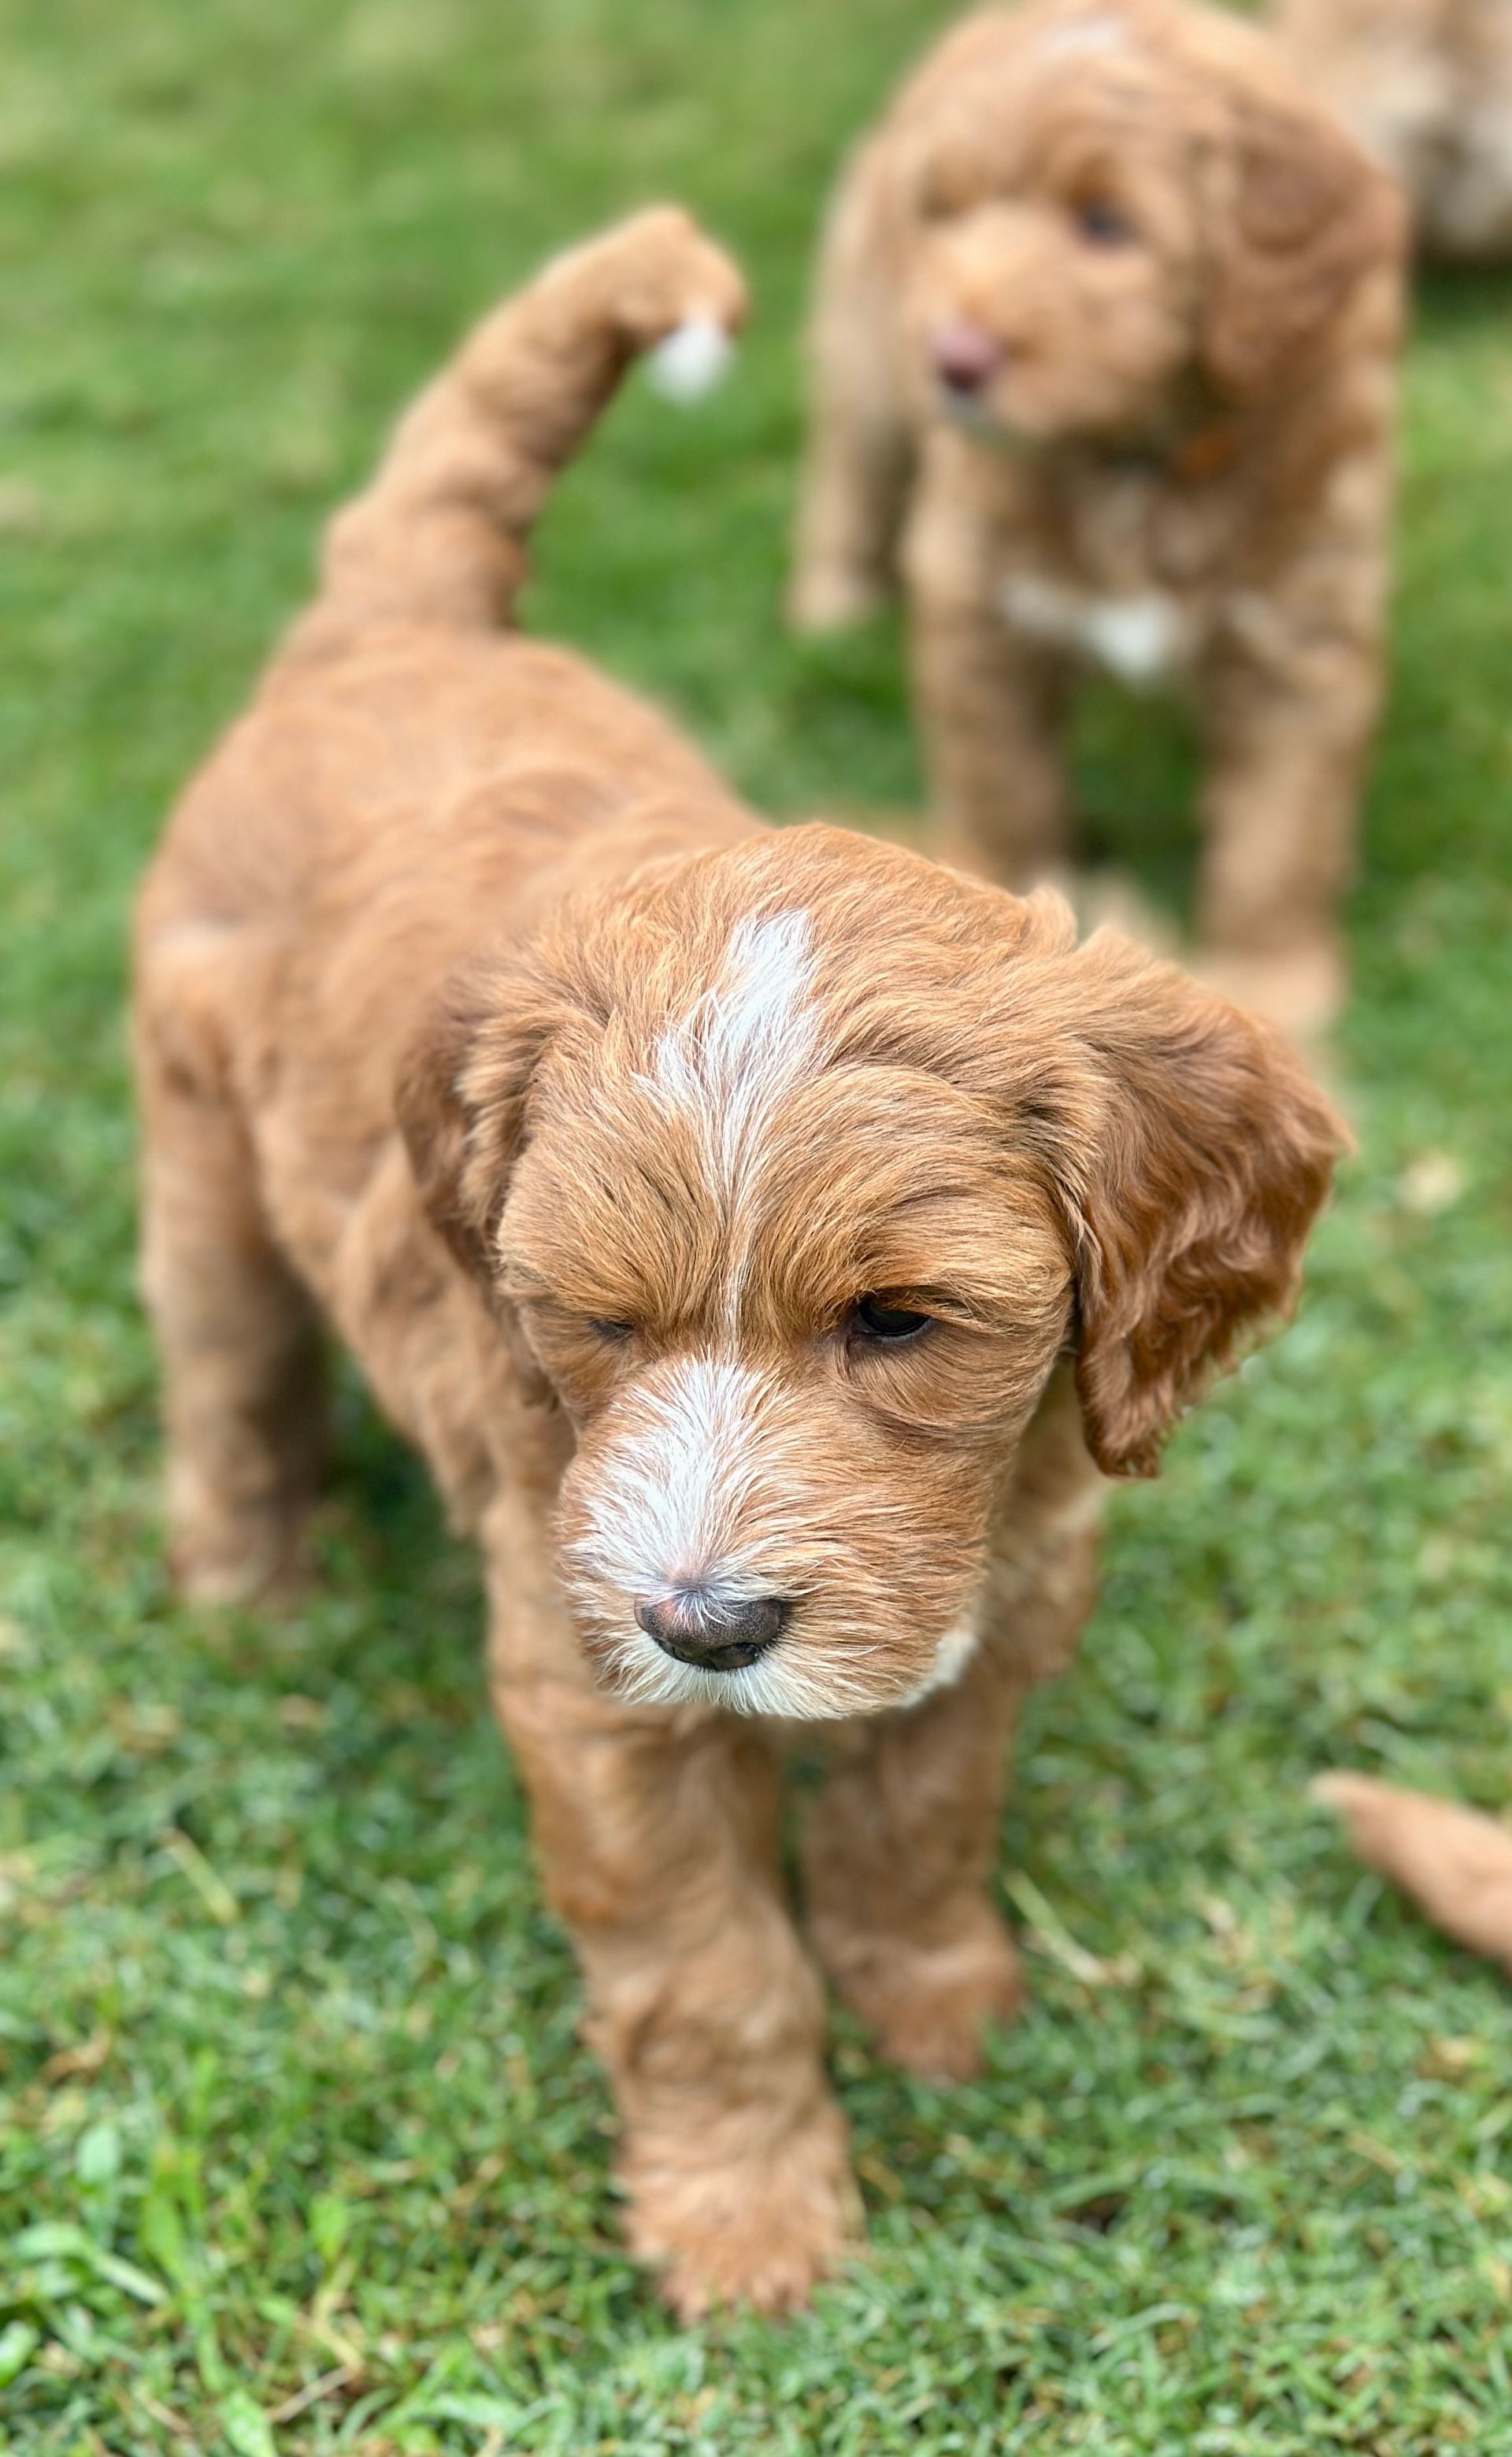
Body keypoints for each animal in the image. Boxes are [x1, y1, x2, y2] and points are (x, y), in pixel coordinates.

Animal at [135, 208, 1343, 2316]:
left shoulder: (1012, 1580)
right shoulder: (590, 1662)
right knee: (228, 1375)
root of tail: (392, 624)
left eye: (899, 1321)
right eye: (597, 1325)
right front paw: (754, 2222)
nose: (709, 1627)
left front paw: (938, 2003)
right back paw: (250, 1593)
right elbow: (705, 1968)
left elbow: (923, 1815)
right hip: (200, 1156)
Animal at [790, 0, 1407, 1035]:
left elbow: (1280, 832)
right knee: (849, 470)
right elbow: (1007, 790)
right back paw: (829, 609)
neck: (1137, 459)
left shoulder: (1303, 622)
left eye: (1106, 224)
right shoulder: (979, 605)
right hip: (867, 339)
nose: (953, 359)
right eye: (946, 213)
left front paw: (1273, 979)